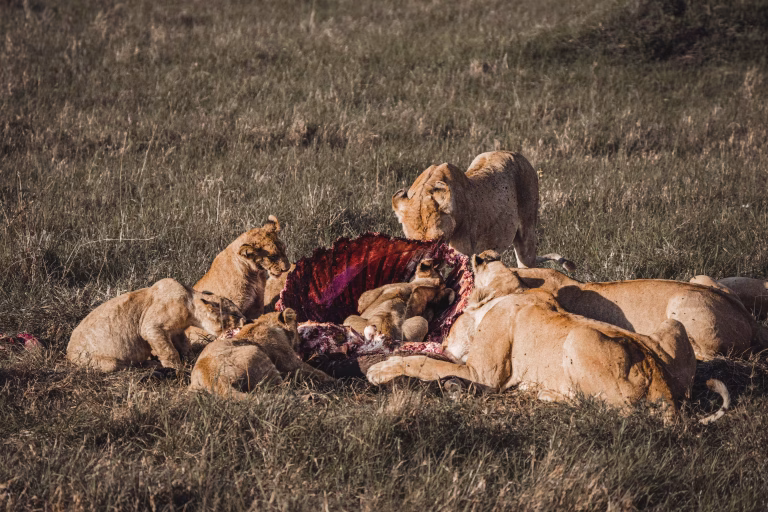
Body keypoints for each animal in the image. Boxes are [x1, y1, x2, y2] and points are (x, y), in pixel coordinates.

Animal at [67, 278, 246, 372]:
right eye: (236, 314)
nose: (247, 320)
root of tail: (67, 353)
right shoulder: (151, 327)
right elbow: (169, 351)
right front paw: (177, 369)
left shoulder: (177, 331)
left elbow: (184, 345)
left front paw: (190, 358)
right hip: (106, 363)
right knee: (125, 366)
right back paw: (151, 364)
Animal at [189, 309, 334, 397]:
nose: (301, 340)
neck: (263, 323)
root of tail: (215, 380)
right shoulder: (290, 362)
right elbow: (316, 372)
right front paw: (334, 381)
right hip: (259, 355)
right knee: (282, 392)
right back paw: (314, 397)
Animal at [367, 258, 729, 423]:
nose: (480, 256)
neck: (514, 293)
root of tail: (663, 391)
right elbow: (430, 360)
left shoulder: (482, 374)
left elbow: (425, 363)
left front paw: (382, 369)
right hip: (672, 326)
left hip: (581, 338)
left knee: (606, 409)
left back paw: (540, 393)